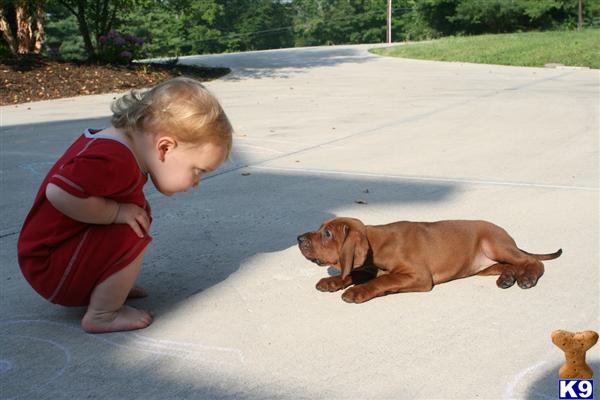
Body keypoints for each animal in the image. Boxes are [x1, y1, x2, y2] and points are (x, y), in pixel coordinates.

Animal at [298, 219, 560, 304]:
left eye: (327, 234)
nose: (299, 238)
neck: (378, 244)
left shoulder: (419, 276)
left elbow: (384, 281)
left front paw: (357, 291)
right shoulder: (368, 267)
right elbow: (353, 273)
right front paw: (332, 281)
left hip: (495, 245)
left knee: (532, 262)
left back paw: (527, 278)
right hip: (485, 265)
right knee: (511, 265)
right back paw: (507, 278)